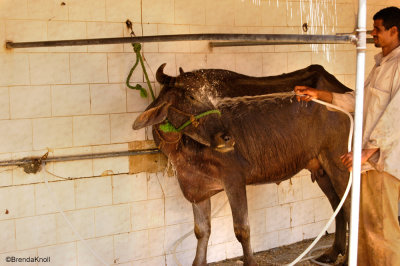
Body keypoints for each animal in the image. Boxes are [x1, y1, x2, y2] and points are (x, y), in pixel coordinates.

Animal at [132, 65, 350, 266]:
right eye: (191, 96)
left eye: (211, 98)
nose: (227, 137)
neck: (181, 150)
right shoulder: (196, 185)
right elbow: (202, 231)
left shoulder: (234, 179)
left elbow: (242, 230)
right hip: (320, 167)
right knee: (337, 203)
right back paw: (332, 253)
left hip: (338, 160)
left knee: (347, 202)